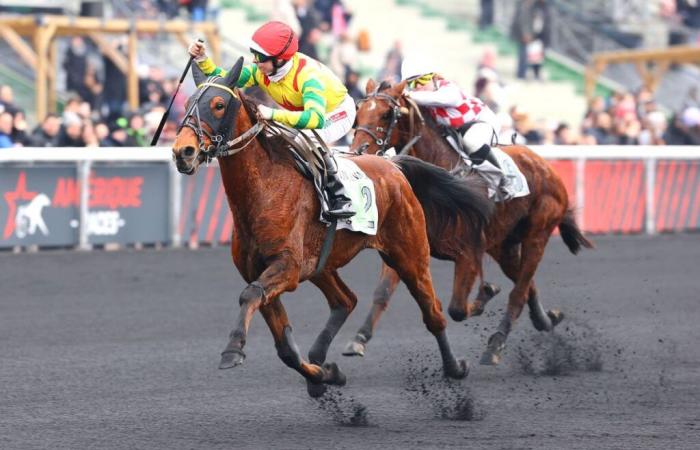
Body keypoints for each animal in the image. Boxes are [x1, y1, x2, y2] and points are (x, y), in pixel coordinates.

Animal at [172, 59, 494, 398]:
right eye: (189, 102)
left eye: (219, 105)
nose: (183, 152)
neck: (264, 190)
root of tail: (393, 166)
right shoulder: (259, 270)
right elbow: (284, 346)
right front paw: (323, 376)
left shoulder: (287, 267)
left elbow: (250, 296)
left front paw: (233, 349)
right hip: (322, 265)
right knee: (346, 300)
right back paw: (322, 361)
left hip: (410, 254)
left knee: (433, 311)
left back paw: (455, 366)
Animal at [344, 78, 592, 366]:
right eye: (358, 113)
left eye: (386, 114)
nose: (357, 152)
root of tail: (544, 165)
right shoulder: (406, 243)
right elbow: (383, 291)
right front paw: (359, 339)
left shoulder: (468, 253)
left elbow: (458, 309)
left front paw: (487, 293)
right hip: (504, 246)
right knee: (527, 285)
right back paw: (546, 319)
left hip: (537, 234)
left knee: (518, 292)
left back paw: (495, 345)